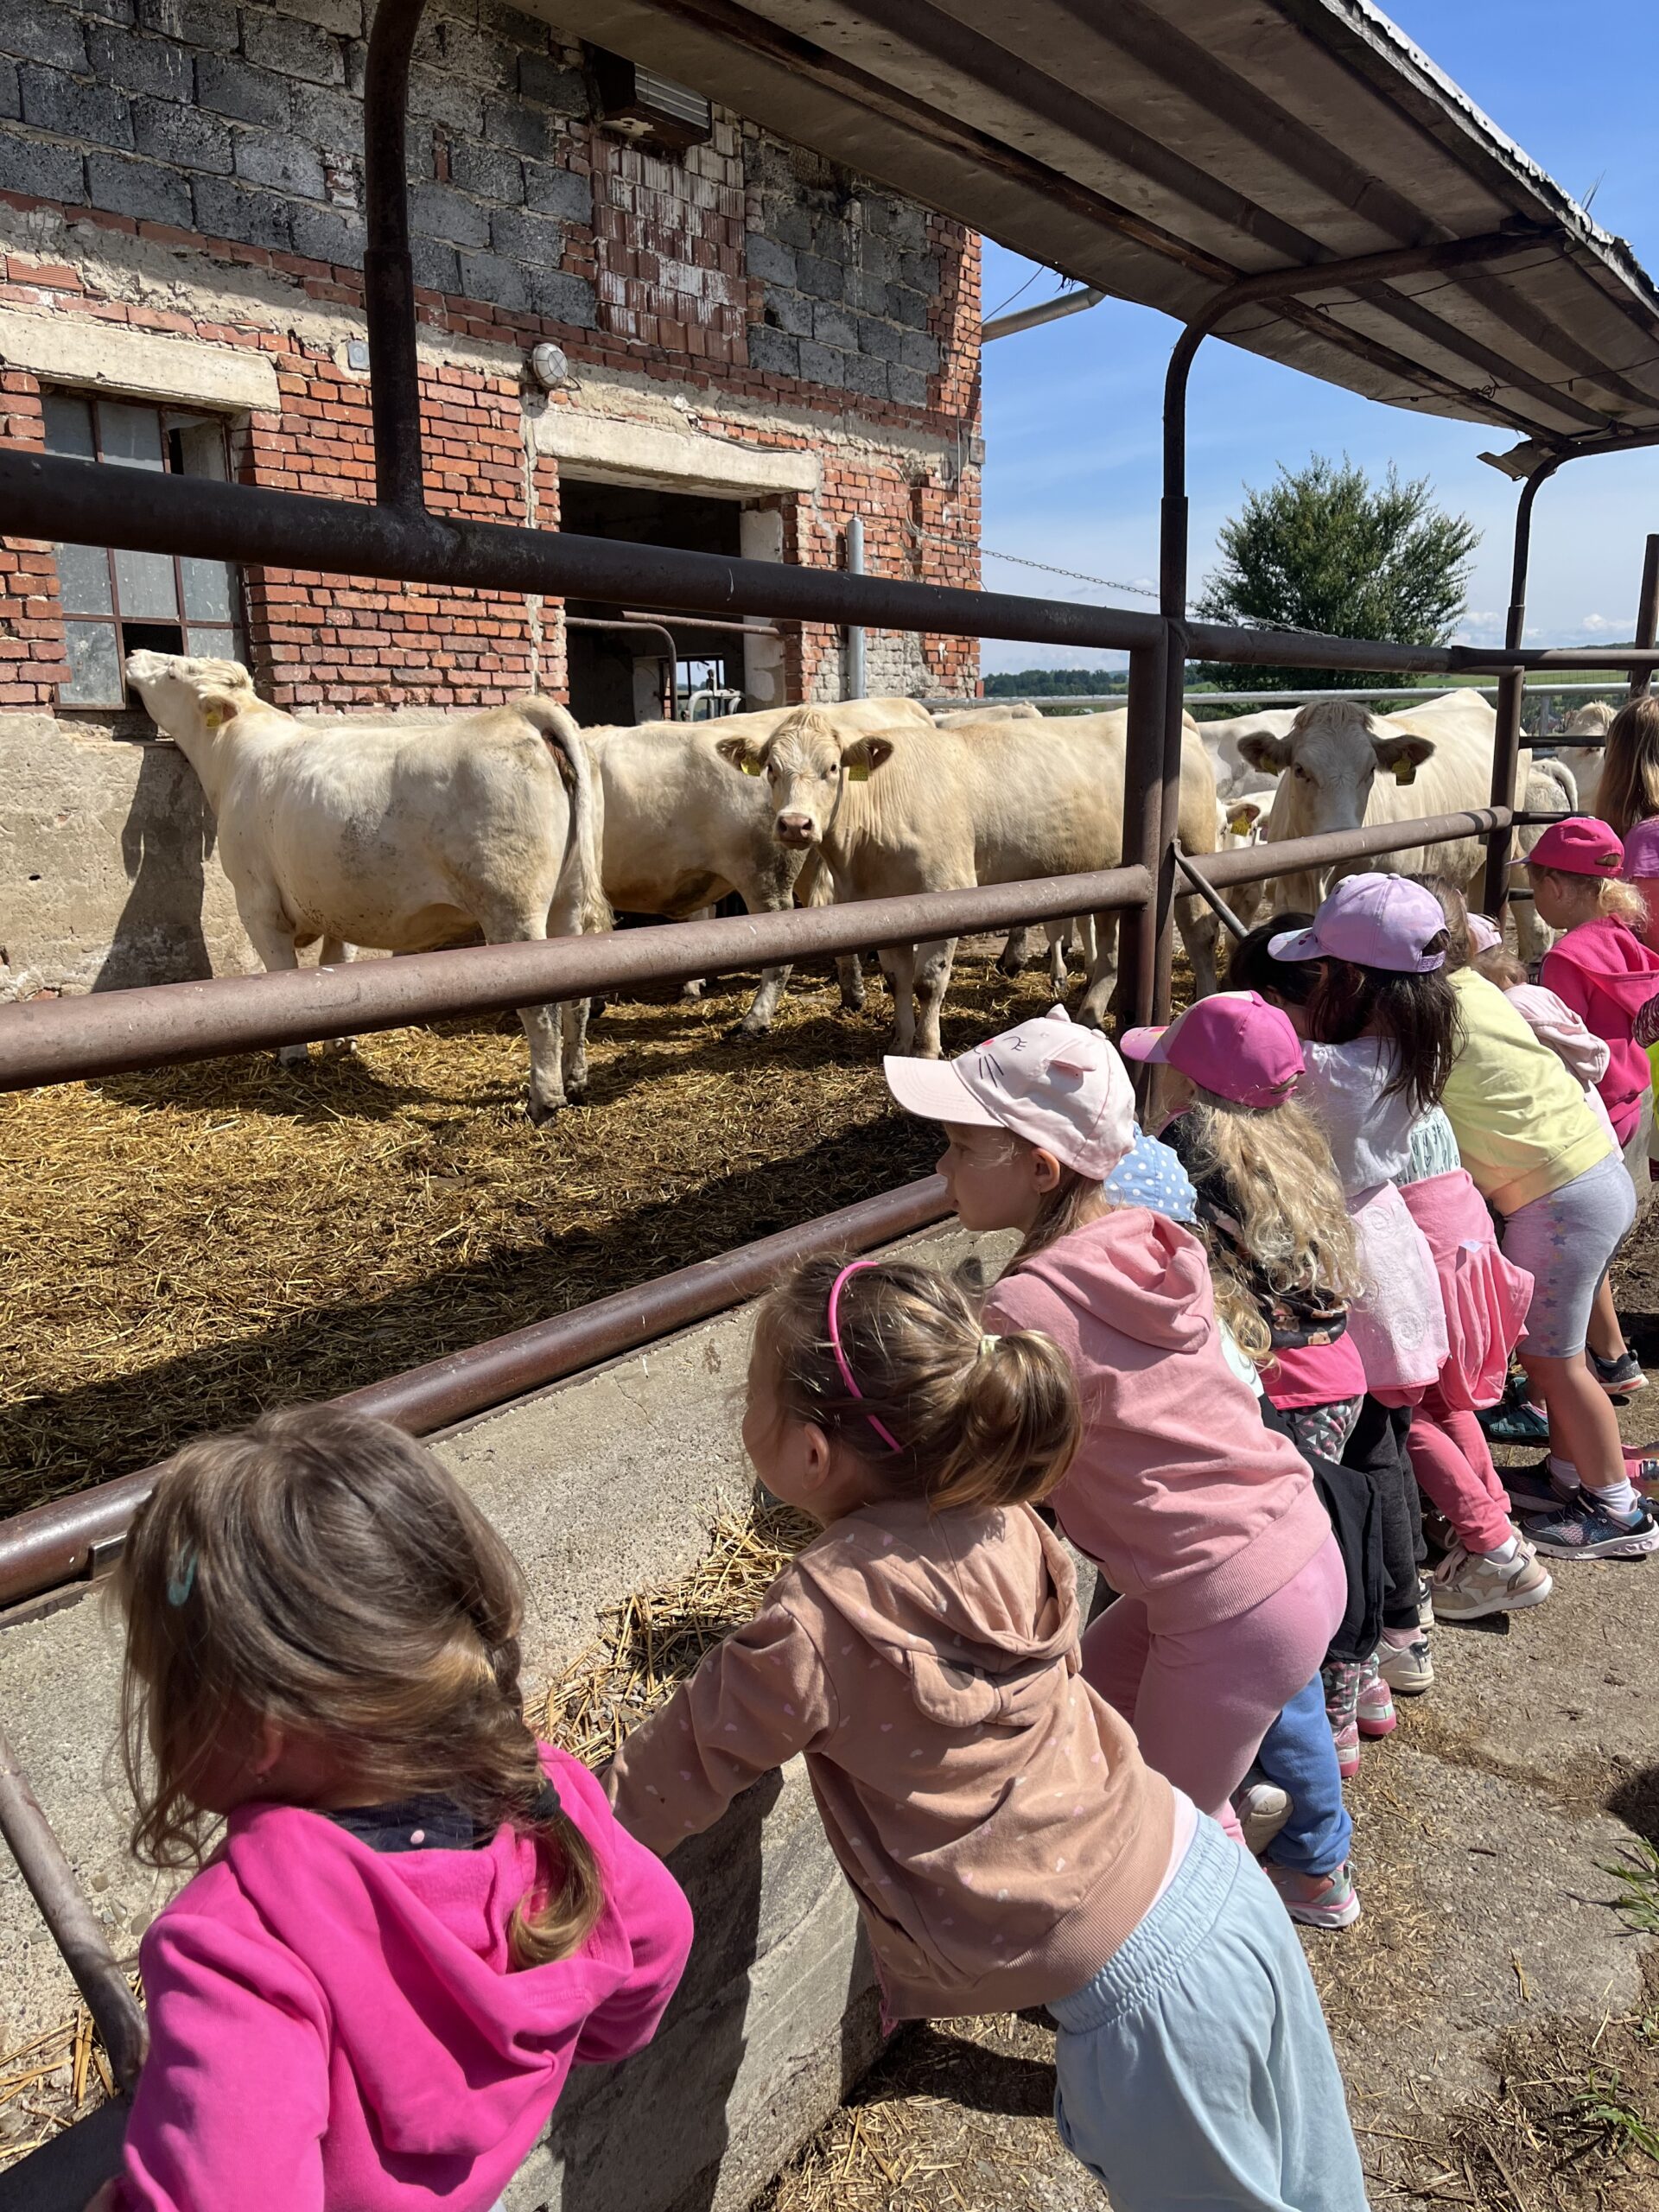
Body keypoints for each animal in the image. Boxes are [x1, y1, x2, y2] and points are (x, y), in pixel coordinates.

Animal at [124, 651, 607, 1123]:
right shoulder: (335, 899)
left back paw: (544, 1099)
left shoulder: (257, 903)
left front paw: (293, 1054)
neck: (235, 756)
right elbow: (335, 966)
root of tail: (519, 714)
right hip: (567, 900)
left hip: (512, 909)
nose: (133, 654)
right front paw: (340, 1042)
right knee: (577, 998)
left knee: (541, 1007)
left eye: (173, 671)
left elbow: (283, 976)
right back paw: (575, 1080)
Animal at [716, 706, 1221, 1057]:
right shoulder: (885, 907)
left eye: (833, 768)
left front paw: (926, 1049)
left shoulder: (946, 891)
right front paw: (900, 1044)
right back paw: (1090, 1013)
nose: (794, 824)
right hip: (1117, 876)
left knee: (1200, 931)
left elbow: (928, 982)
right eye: (771, 769)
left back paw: (1208, 1000)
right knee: (1114, 951)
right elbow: (897, 979)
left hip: (1193, 850)